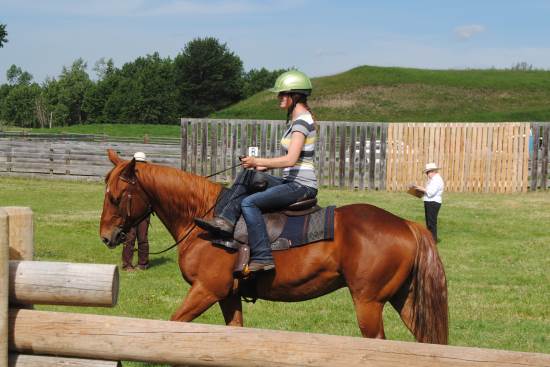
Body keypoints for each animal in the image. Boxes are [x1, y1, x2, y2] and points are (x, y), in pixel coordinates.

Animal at [101, 150, 450, 344]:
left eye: (115, 197)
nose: (106, 236)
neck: (204, 218)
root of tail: (407, 224)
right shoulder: (228, 295)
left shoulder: (206, 290)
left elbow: (173, 324)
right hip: (403, 298)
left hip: (369, 303)